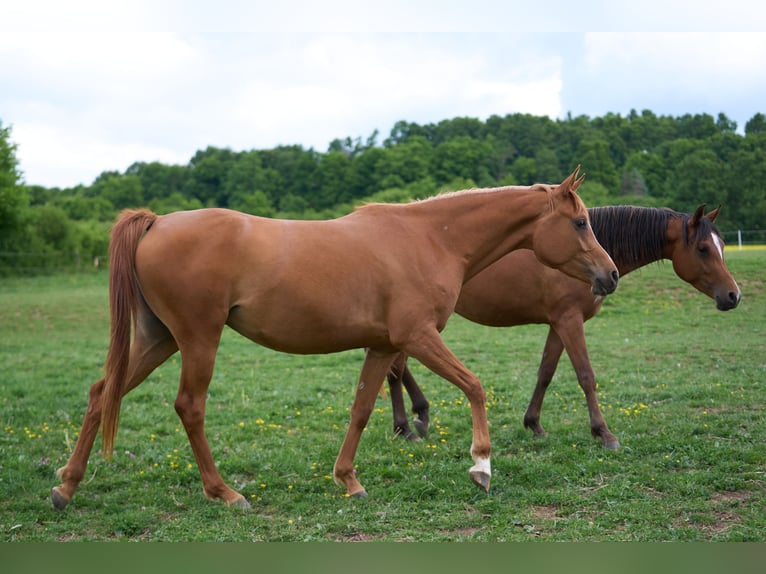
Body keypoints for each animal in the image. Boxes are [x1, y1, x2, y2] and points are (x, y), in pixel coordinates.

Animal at [50, 167, 618, 510]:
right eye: (580, 221)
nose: (610, 275)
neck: (429, 238)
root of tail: (156, 222)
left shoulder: (385, 345)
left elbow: (362, 409)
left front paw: (348, 479)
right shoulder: (418, 336)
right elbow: (475, 386)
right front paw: (481, 465)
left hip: (159, 339)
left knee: (103, 393)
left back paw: (66, 485)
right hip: (196, 339)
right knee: (189, 407)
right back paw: (225, 493)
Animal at [387, 204, 741, 448]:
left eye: (722, 246)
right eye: (702, 248)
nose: (733, 295)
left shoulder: (558, 324)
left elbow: (546, 372)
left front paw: (533, 424)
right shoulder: (570, 322)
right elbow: (585, 375)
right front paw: (604, 433)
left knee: (398, 366)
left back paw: (417, 416)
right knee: (396, 369)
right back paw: (407, 424)